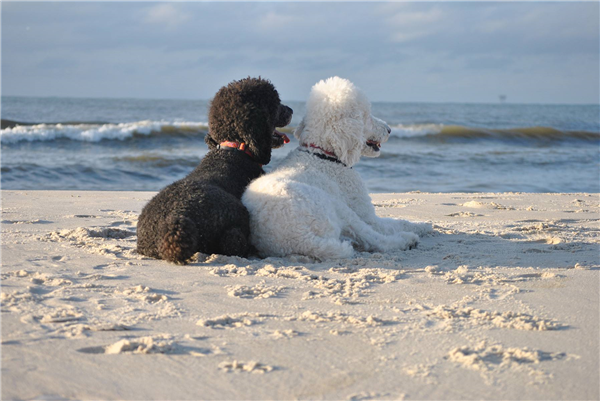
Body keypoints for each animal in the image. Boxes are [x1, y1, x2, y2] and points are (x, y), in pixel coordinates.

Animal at [138, 77, 292, 262]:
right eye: (276, 103)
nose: (291, 110)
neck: (234, 148)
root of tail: (167, 229)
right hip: (236, 212)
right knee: (234, 242)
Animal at [241, 77, 434, 260]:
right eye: (366, 115)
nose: (389, 129)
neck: (322, 154)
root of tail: (301, 240)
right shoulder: (366, 214)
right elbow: (396, 223)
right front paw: (423, 225)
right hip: (337, 208)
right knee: (375, 240)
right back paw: (407, 240)